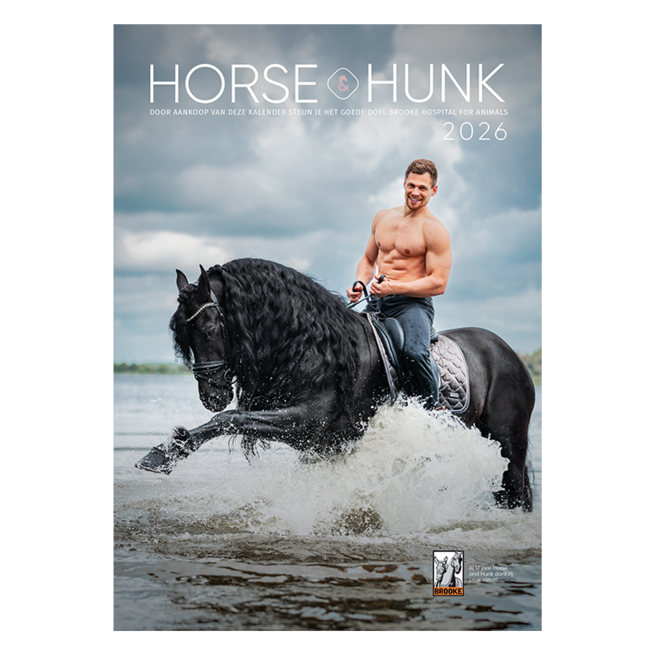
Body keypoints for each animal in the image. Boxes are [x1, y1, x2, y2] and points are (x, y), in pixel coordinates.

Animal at [135, 258, 535, 510]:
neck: (312, 343)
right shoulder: (317, 443)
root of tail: (509, 352)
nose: (210, 394)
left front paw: (165, 453)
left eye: (208, 328)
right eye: (181, 333)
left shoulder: (308, 421)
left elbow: (229, 419)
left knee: (517, 490)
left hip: (508, 440)